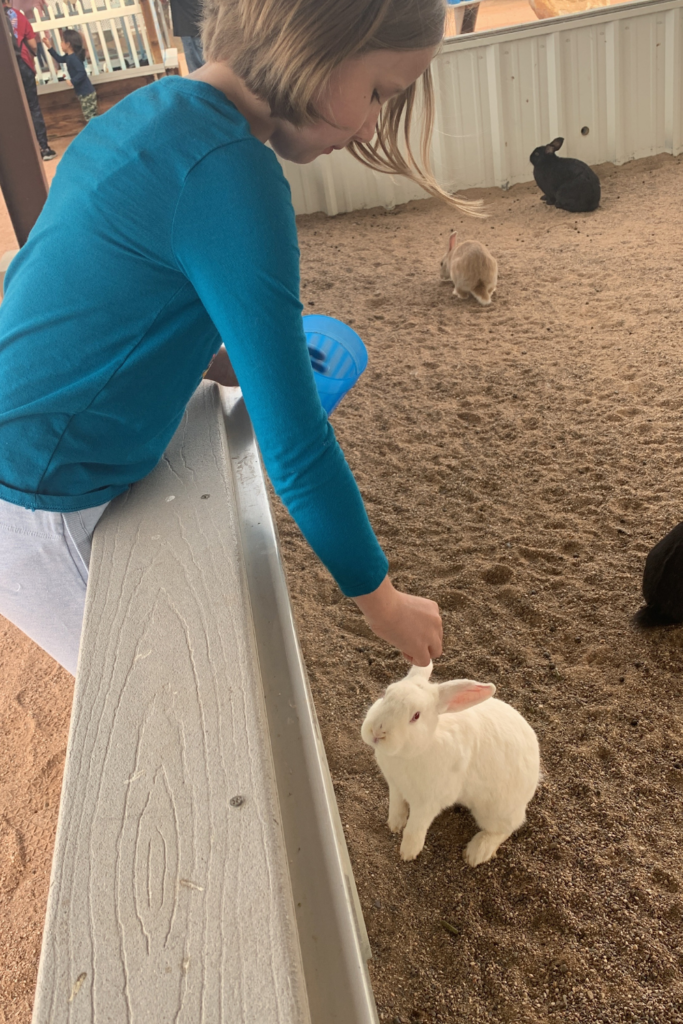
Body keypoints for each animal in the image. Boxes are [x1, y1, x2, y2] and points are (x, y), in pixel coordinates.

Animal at [360, 663, 540, 864]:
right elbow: (396, 806)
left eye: (416, 716)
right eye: (385, 694)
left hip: (494, 811)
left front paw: (408, 853)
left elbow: (415, 827)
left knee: (505, 829)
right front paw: (394, 825)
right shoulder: (395, 786)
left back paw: (475, 853)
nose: (377, 732)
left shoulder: (427, 803)